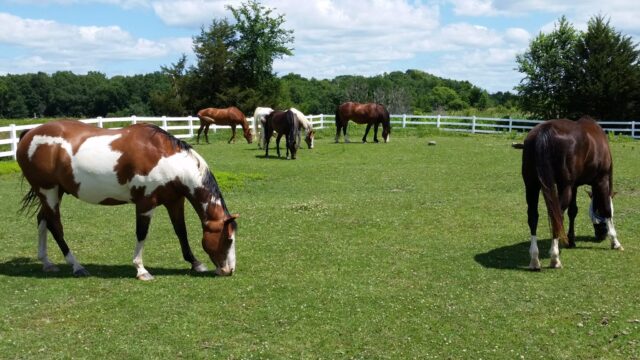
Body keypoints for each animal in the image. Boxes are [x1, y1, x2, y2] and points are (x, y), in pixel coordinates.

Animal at [16, 119, 238, 280]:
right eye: (228, 239)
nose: (229, 270)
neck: (164, 157)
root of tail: (29, 133)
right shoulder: (145, 204)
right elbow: (142, 233)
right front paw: (141, 270)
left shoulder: (174, 201)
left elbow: (181, 232)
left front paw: (195, 263)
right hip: (49, 192)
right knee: (55, 226)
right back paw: (77, 266)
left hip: (53, 193)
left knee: (42, 220)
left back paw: (46, 262)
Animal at [524, 116, 624, 270]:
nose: (600, 235)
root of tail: (545, 131)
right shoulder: (602, 180)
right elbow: (607, 209)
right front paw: (615, 241)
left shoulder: (574, 185)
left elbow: (573, 211)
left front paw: (571, 240)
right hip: (563, 187)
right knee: (556, 216)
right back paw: (555, 258)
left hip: (532, 185)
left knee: (533, 217)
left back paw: (535, 259)